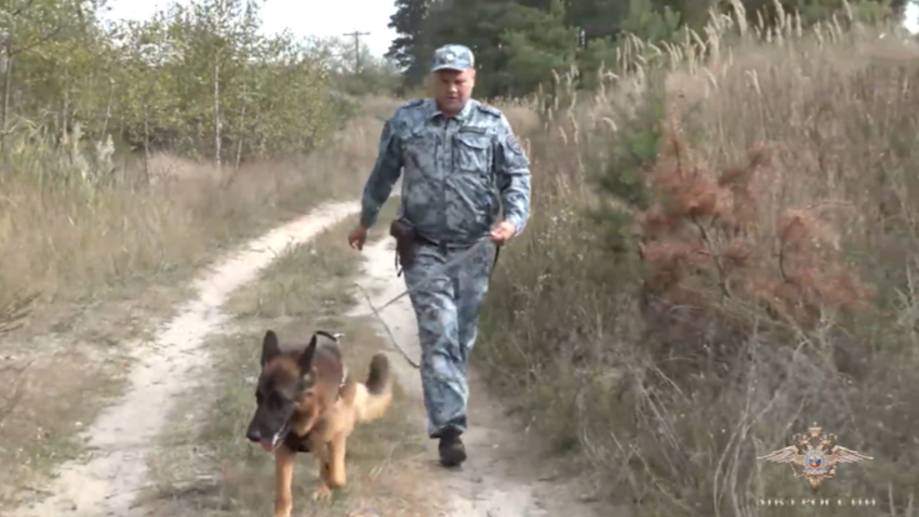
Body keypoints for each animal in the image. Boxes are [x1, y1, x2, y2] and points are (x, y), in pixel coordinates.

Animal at [244, 328, 392, 512]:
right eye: (259, 397)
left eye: (279, 401)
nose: (251, 435)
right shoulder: (284, 451)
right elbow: (283, 497)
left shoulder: (336, 437)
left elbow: (337, 478)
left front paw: (329, 482)